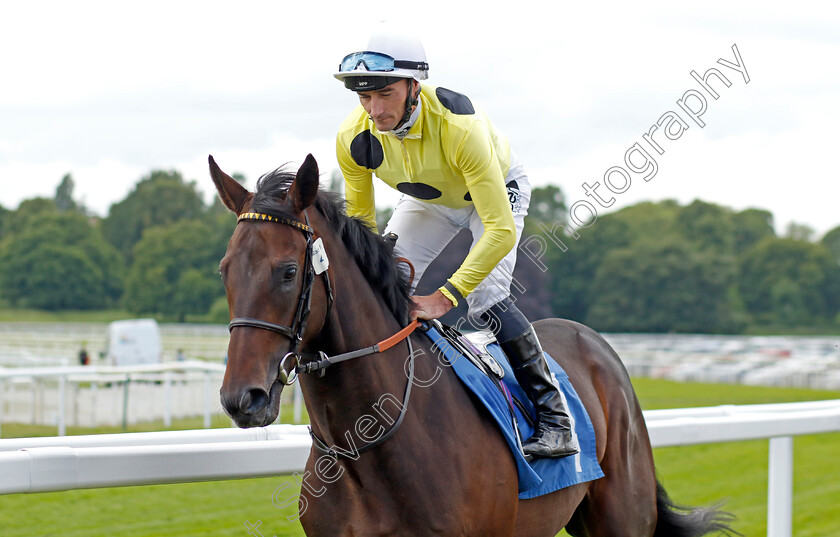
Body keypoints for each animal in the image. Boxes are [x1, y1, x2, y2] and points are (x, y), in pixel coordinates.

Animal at [210, 155, 736, 536]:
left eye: (288, 272)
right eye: (225, 269)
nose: (242, 398)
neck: (369, 446)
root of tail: (593, 341)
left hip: (622, 516)